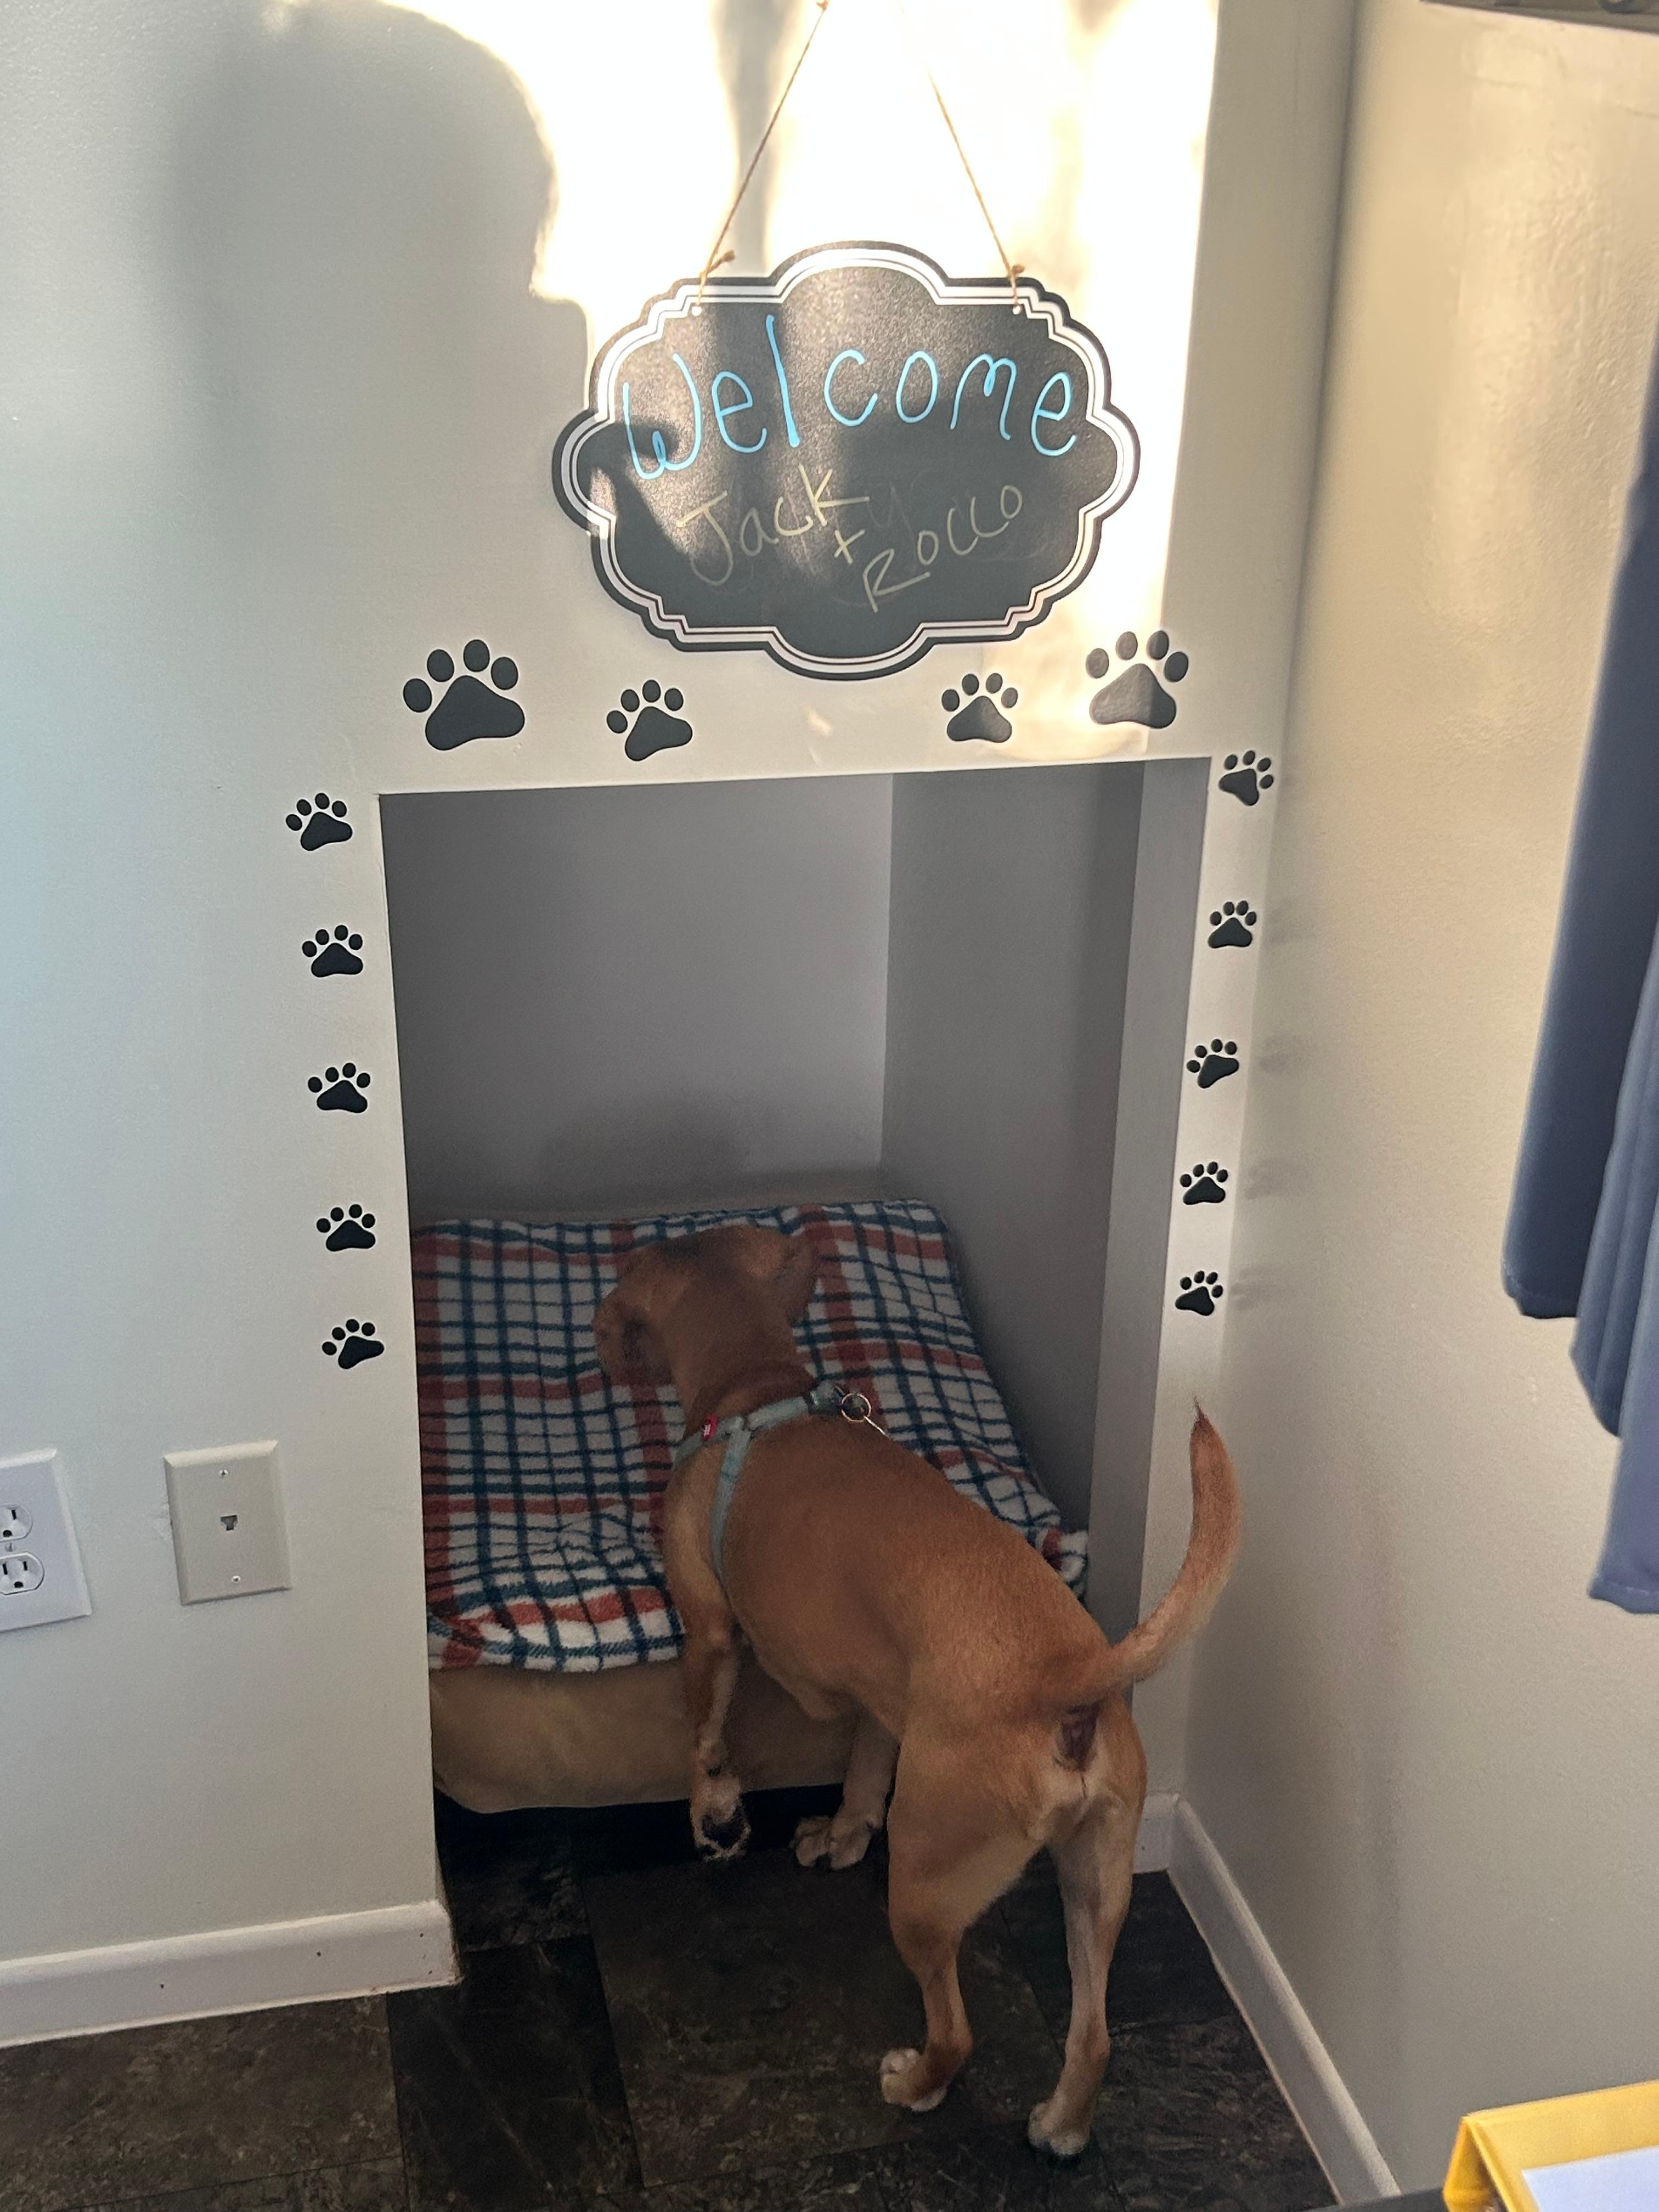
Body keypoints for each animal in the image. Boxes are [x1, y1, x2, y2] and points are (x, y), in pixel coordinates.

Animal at [594, 1222, 1240, 2157]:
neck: (759, 1387)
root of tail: (1066, 1676)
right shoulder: (881, 1699)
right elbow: (865, 1774)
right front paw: (841, 1833)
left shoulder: (710, 1631)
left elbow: (706, 1737)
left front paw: (714, 1816)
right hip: (1096, 1880)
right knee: (1094, 2034)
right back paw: (1062, 2125)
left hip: (927, 1884)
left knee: (958, 2031)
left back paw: (917, 2084)